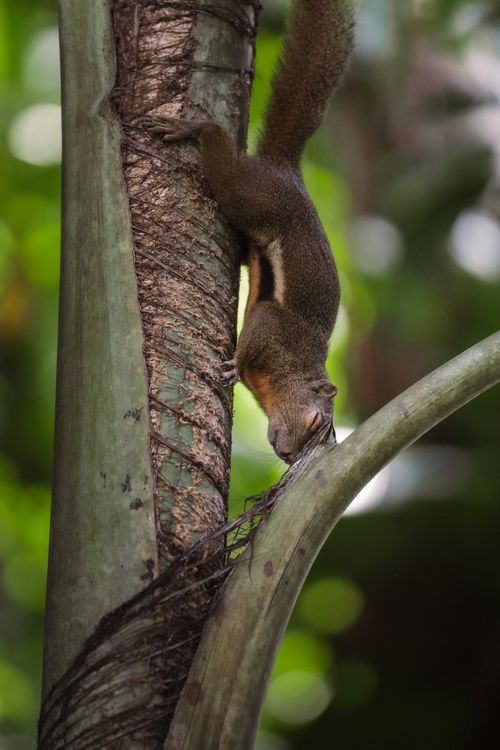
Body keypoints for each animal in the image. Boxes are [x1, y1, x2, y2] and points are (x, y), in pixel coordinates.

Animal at [148, 0, 355, 464]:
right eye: (314, 421)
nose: (291, 458)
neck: (288, 373)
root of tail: (285, 169)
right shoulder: (275, 328)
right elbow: (259, 326)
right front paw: (234, 365)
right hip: (253, 195)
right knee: (224, 168)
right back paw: (196, 129)